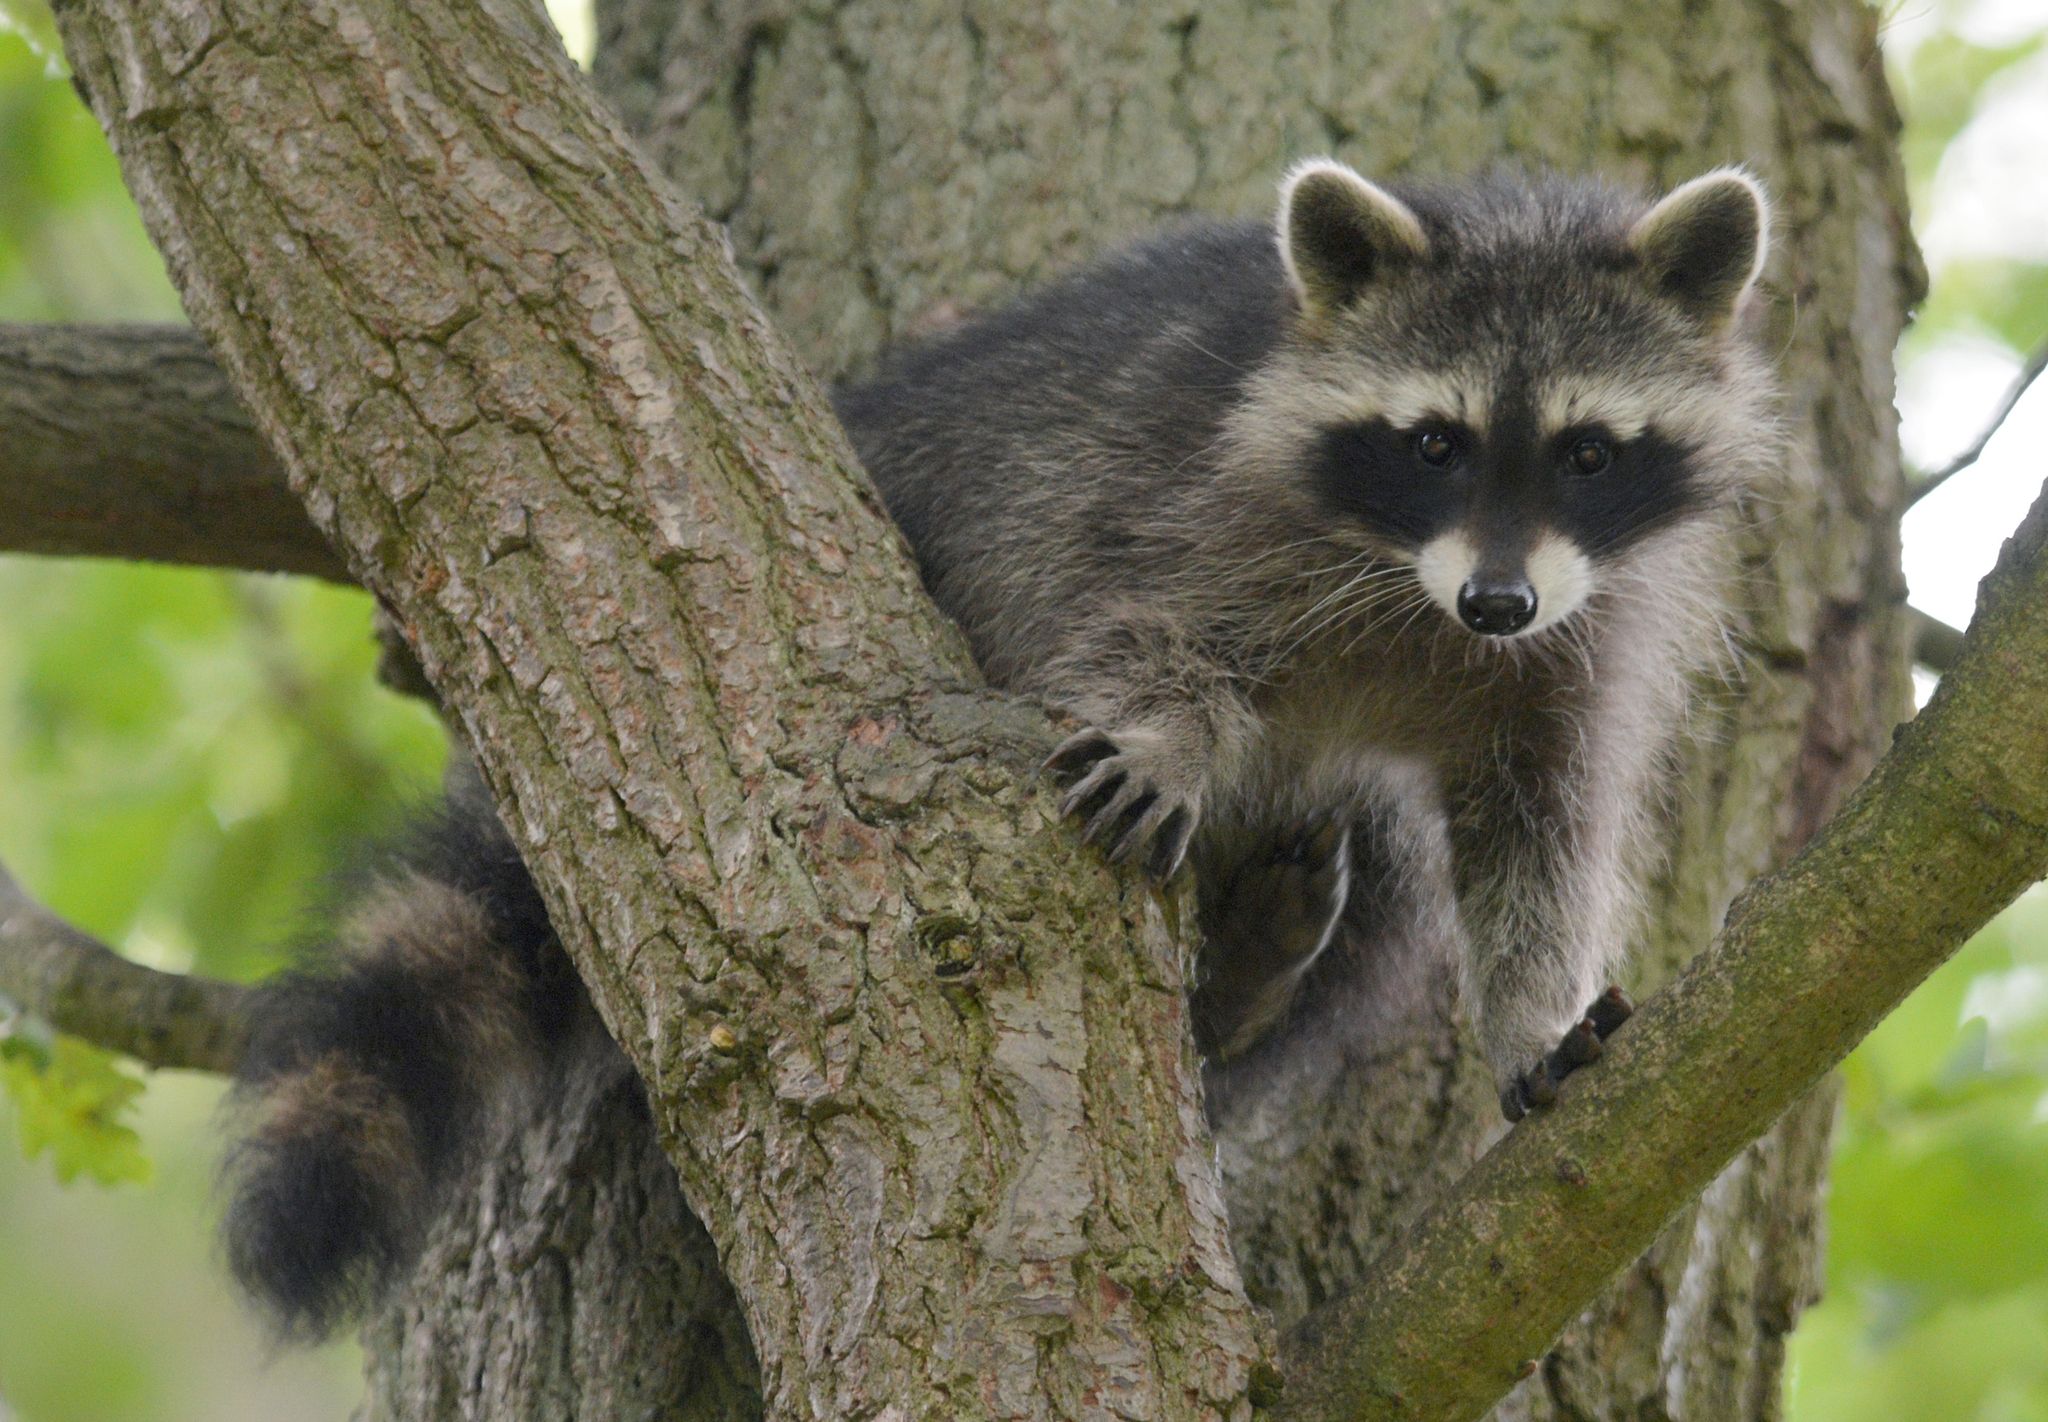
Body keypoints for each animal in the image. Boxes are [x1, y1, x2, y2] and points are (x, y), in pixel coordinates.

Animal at [224, 163, 1777, 1335]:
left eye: (1587, 452)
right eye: (1434, 442)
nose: (1495, 601)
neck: (1416, 594)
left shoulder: (1578, 642)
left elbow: (1541, 828)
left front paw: (1536, 1009)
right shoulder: (1190, 508)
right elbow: (1141, 627)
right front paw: (1163, 735)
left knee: (1385, 893)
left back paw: (1246, 990)